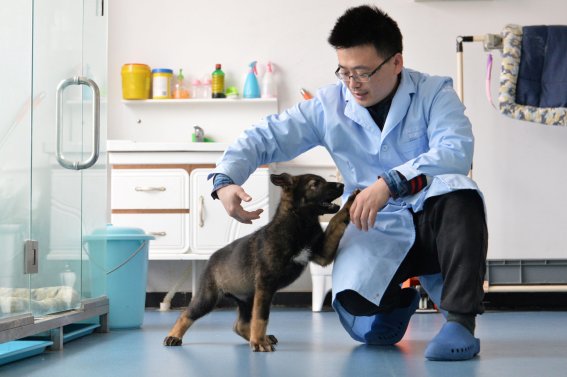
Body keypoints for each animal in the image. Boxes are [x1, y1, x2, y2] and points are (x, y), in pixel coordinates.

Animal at [165, 172, 360, 352]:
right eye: (315, 184)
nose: (342, 185)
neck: (300, 222)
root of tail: (211, 258)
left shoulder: (323, 254)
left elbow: (336, 220)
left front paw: (351, 202)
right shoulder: (266, 284)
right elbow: (261, 317)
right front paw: (259, 343)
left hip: (246, 299)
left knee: (239, 325)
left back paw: (262, 337)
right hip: (209, 297)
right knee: (186, 314)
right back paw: (173, 336)